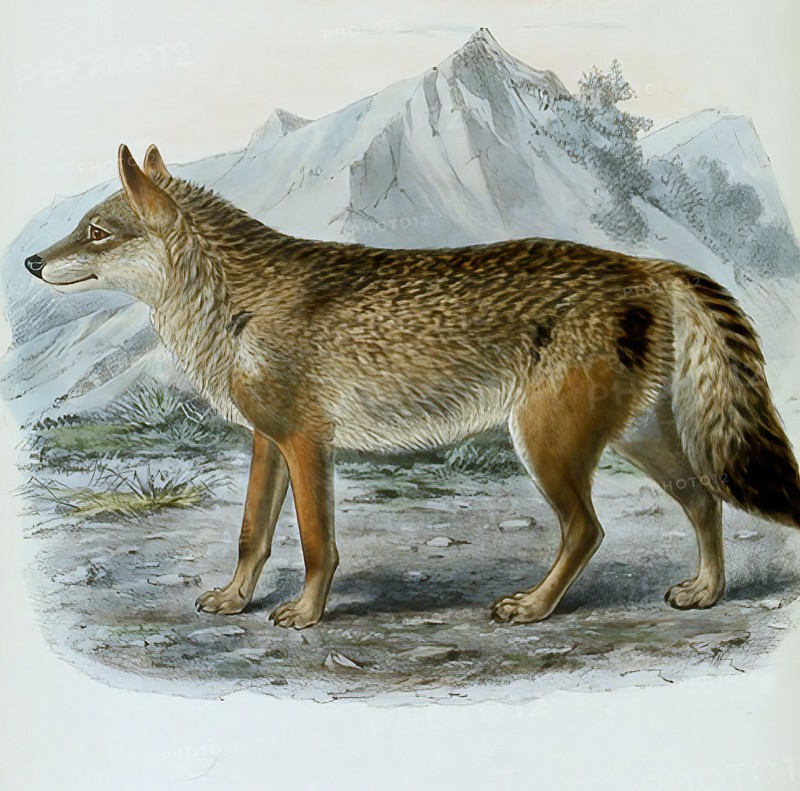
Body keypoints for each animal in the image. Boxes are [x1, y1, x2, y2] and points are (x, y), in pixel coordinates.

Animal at [24, 144, 800, 629]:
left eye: (95, 231)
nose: (30, 261)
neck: (234, 303)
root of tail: (648, 266)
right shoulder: (267, 442)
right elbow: (251, 535)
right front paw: (235, 598)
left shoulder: (306, 444)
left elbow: (317, 544)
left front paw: (306, 615)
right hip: (635, 442)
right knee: (703, 499)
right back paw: (707, 592)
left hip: (548, 446)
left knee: (589, 528)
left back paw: (534, 608)